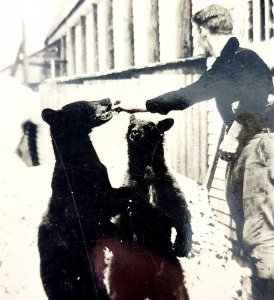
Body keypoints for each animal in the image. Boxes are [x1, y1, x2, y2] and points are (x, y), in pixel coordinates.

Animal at [94, 115, 191, 300]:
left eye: (151, 126)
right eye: (131, 125)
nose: (135, 132)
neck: (147, 173)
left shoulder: (169, 192)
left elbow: (181, 215)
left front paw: (181, 245)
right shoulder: (130, 190)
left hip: (170, 272)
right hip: (120, 276)